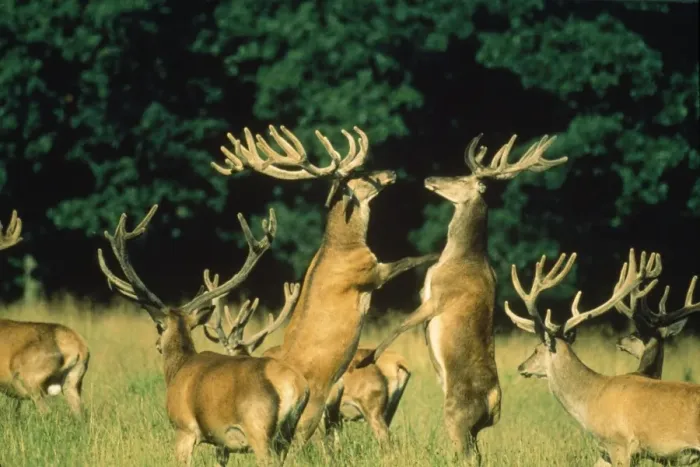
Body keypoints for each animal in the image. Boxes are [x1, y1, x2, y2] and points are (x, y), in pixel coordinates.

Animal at [97, 204, 309, 466]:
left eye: (159, 327)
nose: (157, 344)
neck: (177, 369)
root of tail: (296, 386)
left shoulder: (184, 428)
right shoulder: (221, 442)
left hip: (258, 428)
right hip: (286, 436)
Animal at [212, 125, 438, 444]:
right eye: (361, 174)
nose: (391, 172)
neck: (343, 245)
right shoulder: (368, 273)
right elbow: (407, 259)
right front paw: (439, 253)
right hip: (315, 404)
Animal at [356, 133, 568, 462]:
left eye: (462, 177)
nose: (430, 178)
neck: (459, 257)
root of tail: (494, 402)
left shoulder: (440, 296)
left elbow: (402, 324)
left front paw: (368, 357)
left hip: (457, 416)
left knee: (467, 454)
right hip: (472, 427)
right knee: (476, 454)